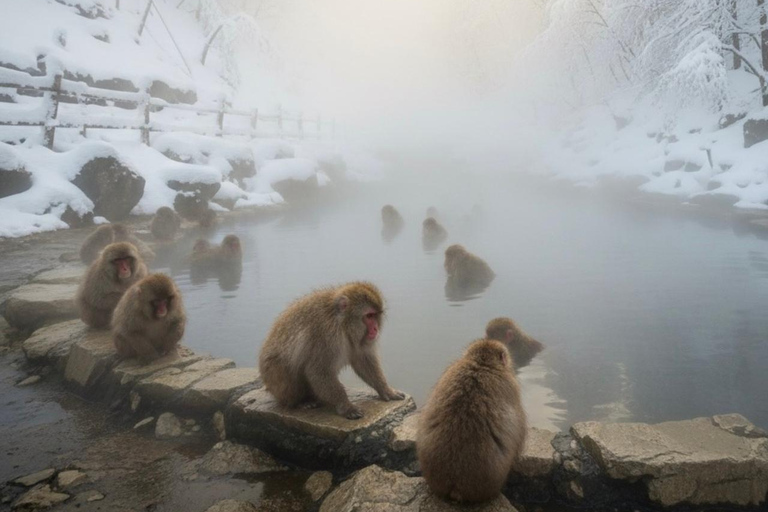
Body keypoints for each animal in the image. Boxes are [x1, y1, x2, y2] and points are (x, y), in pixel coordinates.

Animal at [258, 282, 405, 419]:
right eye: (369, 316)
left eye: (376, 315)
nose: (375, 329)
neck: (342, 324)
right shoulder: (327, 336)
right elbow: (318, 371)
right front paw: (346, 406)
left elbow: (364, 361)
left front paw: (386, 389)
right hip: (274, 378)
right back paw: (300, 402)